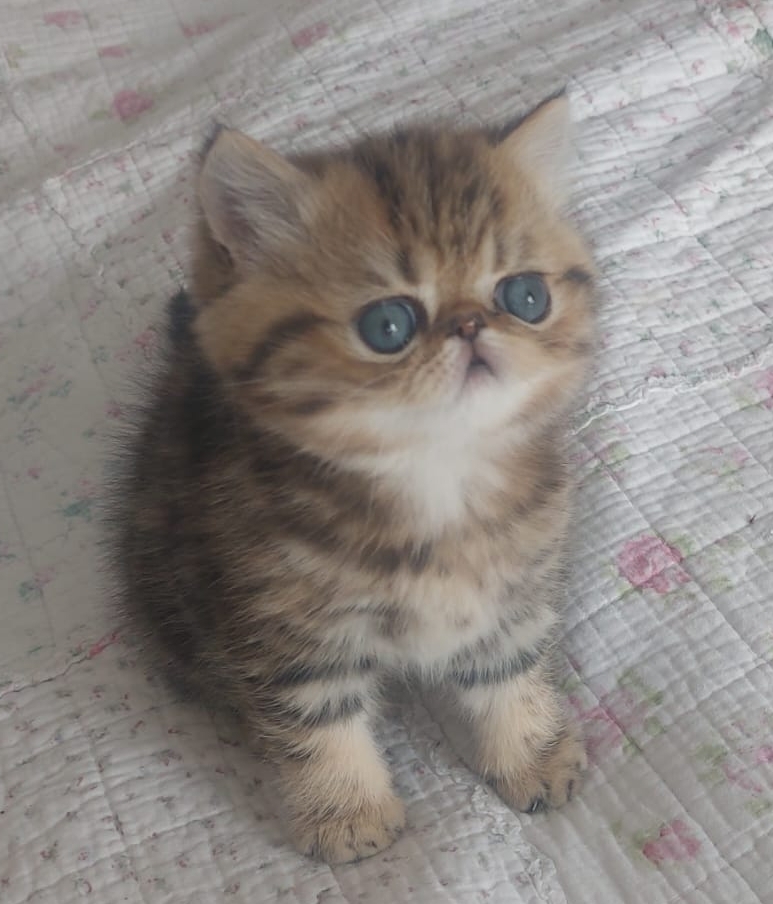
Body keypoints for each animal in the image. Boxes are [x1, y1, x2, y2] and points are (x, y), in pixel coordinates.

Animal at [109, 89, 597, 864]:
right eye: (388, 325)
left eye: (524, 297)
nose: (471, 325)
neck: (435, 473)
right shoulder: (281, 623)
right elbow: (315, 719)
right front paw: (346, 813)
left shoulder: (513, 589)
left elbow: (507, 672)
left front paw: (531, 753)